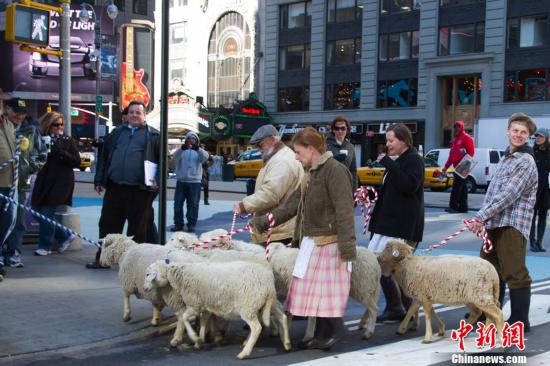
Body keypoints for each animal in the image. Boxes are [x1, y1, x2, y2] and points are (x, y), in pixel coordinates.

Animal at [150, 260, 288, 360]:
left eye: (148, 274)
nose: (146, 288)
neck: (182, 277)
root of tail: (268, 283)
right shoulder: (204, 305)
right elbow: (204, 321)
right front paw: (199, 341)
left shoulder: (195, 304)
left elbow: (184, 318)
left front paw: (195, 338)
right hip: (267, 304)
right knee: (282, 317)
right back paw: (287, 343)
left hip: (248, 305)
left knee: (256, 327)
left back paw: (244, 353)